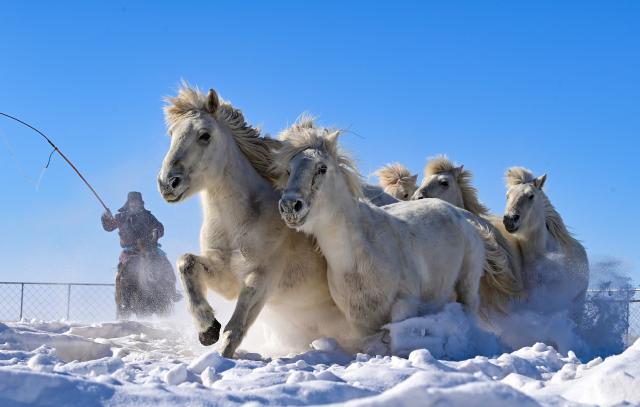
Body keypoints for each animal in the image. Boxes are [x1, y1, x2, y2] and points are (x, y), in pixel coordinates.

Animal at [157, 84, 359, 357]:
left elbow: (235, 328)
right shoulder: (226, 278)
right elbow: (185, 263)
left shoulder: (262, 278)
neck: (241, 221)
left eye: (204, 135)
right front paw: (207, 329)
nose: (167, 183)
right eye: (171, 133)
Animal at [274, 120, 509, 345]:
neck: (358, 259)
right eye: (289, 170)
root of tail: (465, 217)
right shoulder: (360, 322)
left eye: (322, 168)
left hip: (467, 286)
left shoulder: (404, 307)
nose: (290, 206)